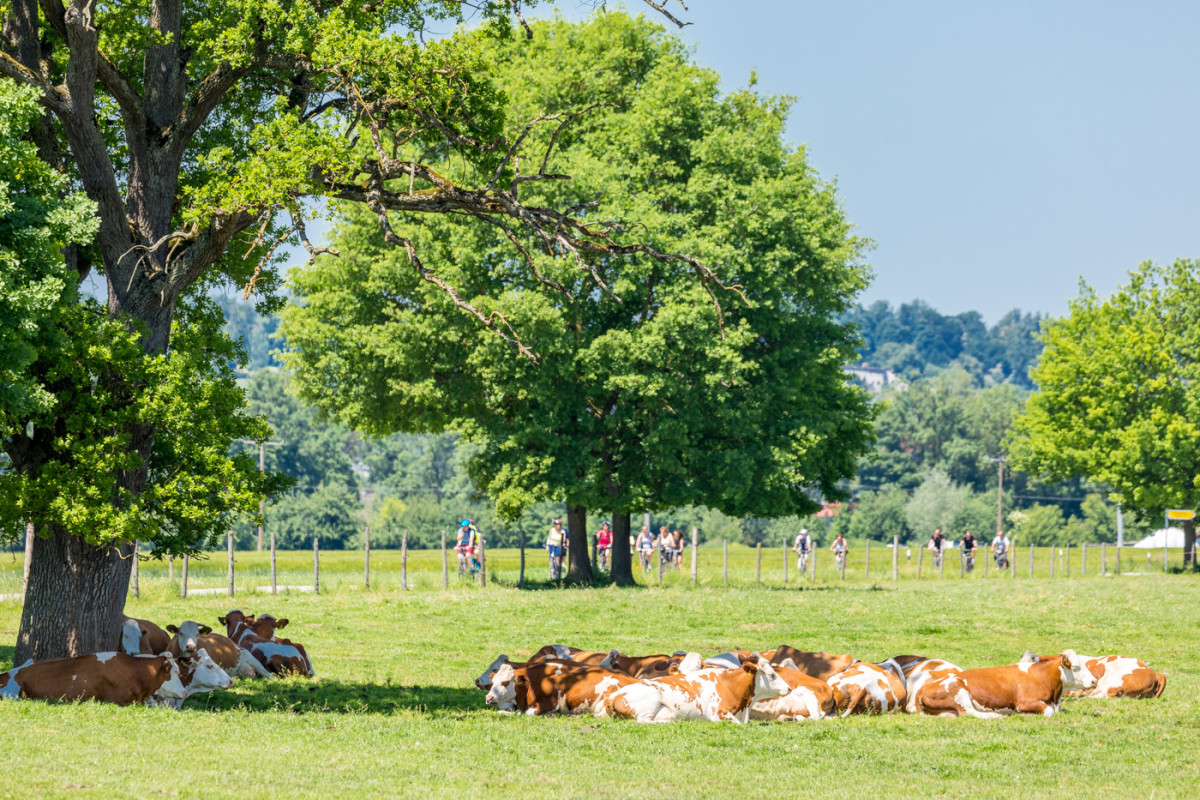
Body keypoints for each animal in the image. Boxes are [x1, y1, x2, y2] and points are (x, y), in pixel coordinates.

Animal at [912, 652, 1094, 714]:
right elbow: (1048, 711)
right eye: (1075, 667)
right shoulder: (1024, 702)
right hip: (959, 691)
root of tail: (923, 689)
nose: (1094, 680)